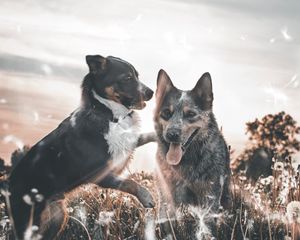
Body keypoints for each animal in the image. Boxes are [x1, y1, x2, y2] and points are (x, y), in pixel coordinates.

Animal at [8, 55, 156, 239]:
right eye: (127, 78)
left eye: (137, 76)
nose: (151, 92)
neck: (108, 114)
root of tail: (7, 186)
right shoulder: (101, 174)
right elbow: (130, 183)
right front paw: (146, 196)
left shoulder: (124, 148)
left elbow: (145, 136)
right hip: (29, 223)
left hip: (57, 217)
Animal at [154, 70, 231, 237]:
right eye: (166, 113)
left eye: (190, 114)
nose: (172, 134)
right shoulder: (166, 193)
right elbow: (167, 221)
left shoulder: (210, 195)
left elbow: (207, 225)